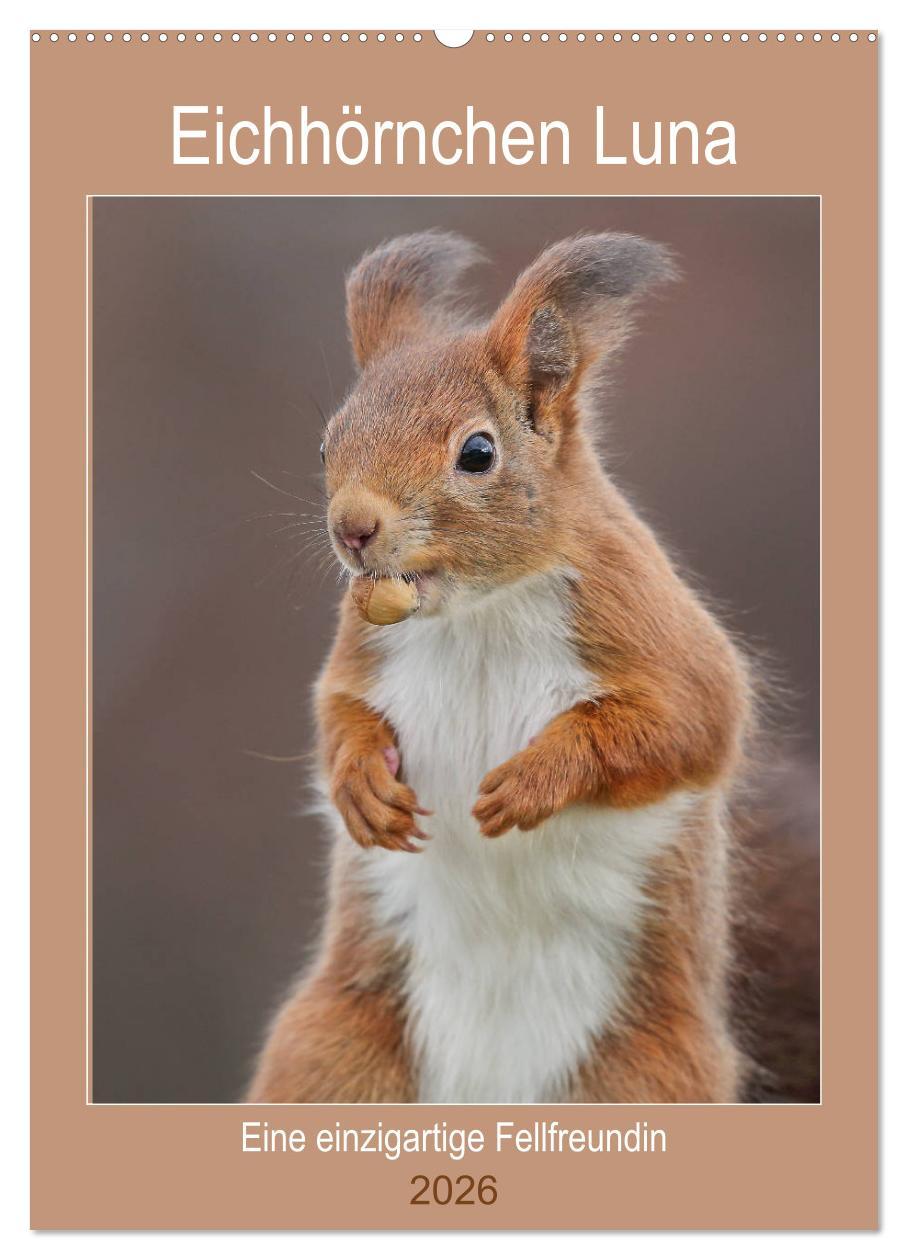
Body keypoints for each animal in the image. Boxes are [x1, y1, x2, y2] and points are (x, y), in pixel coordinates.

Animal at [246, 230, 803, 1105]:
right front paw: (360, 785)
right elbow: (337, 711)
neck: (476, 612)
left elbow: (690, 723)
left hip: (644, 1079)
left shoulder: (650, 627)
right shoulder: (364, 644)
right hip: (331, 1057)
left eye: (478, 452)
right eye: (328, 441)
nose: (353, 529)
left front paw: (536, 778)